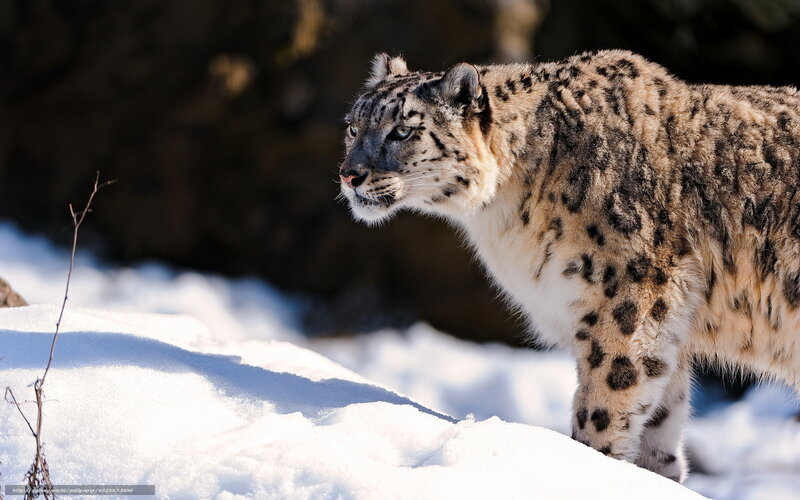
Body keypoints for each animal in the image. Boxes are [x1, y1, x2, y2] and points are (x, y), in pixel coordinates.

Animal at [338, 49, 800, 482]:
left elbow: (603, 408)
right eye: (353, 127)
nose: (349, 175)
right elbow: (660, 425)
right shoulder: (668, 336)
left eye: (403, 130)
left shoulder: (626, 309)